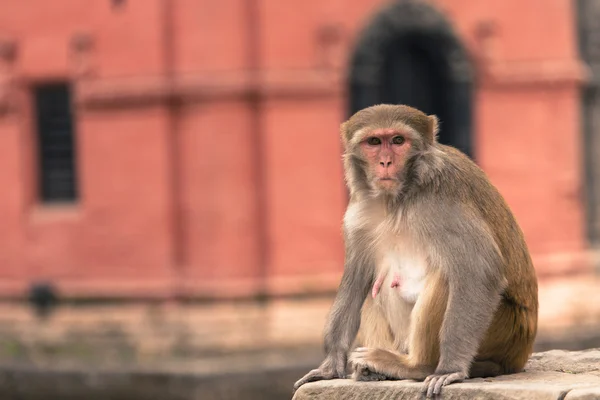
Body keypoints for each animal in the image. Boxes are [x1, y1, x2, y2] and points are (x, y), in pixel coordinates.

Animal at [294, 105, 540, 396]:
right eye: (374, 142)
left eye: (398, 140)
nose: (385, 162)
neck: (399, 198)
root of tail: (520, 356)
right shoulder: (359, 214)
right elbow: (356, 280)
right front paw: (331, 364)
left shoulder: (442, 203)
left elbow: (480, 272)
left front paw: (450, 369)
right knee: (373, 286)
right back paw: (376, 370)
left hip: (505, 332)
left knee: (447, 277)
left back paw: (415, 366)